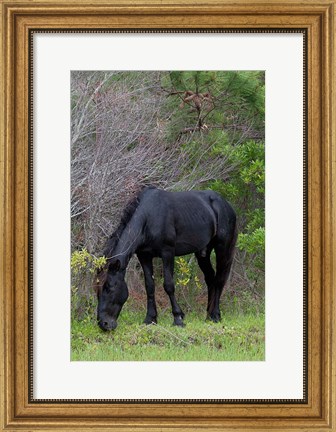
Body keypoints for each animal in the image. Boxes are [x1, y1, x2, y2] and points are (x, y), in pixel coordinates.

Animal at [94, 186, 236, 330]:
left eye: (109, 288)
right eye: (97, 289)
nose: (103, 324)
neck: (148, 217)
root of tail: (226, 205)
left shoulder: (167, 253)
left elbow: (168, 285)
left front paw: (178, 318)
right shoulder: (144, 256)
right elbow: (149, 286)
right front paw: (150, 318)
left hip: (222, 248)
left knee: (219, 280)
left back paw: (216, 315)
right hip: (203, 253)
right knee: (210, 279)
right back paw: (208, 316)